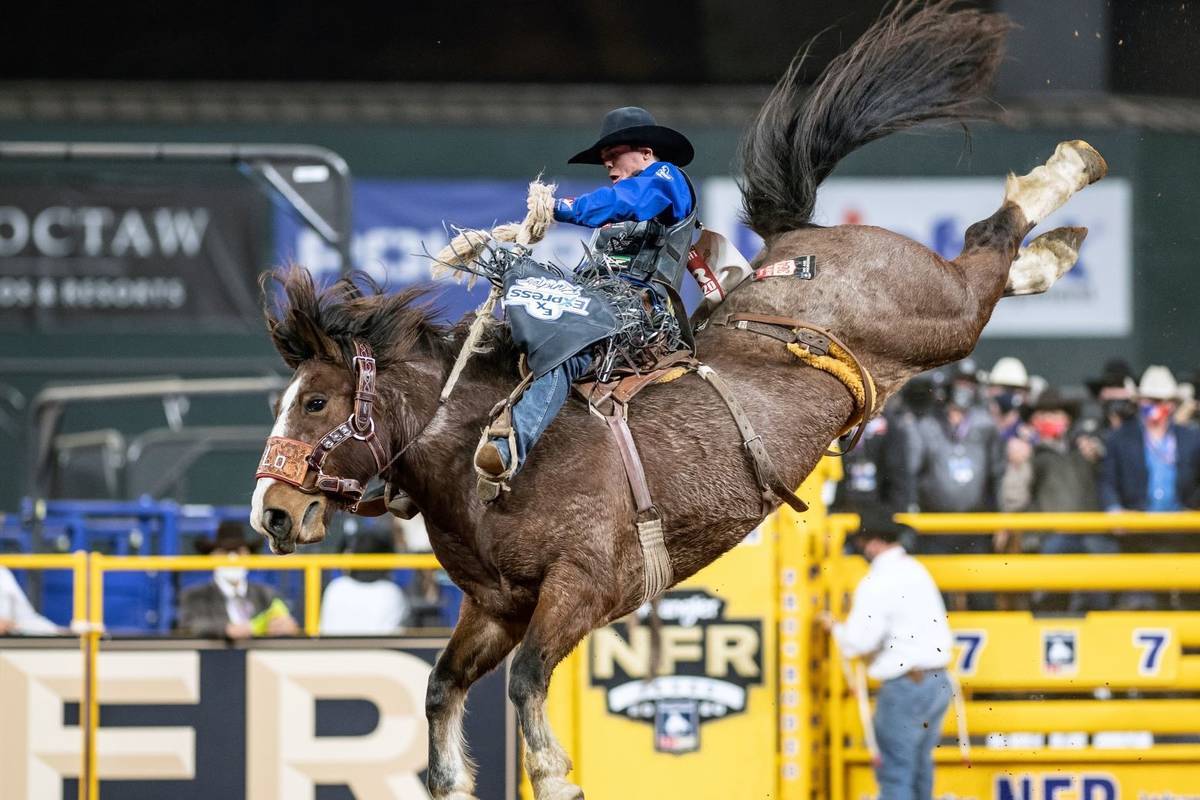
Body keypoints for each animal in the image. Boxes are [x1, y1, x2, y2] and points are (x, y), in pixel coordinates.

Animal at [248, 3, 1108, 796]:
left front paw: (555, 774)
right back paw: (1057, 251)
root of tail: (800, 240)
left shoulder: (581, 589)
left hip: (935, 315)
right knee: (995, 259)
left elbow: (527, 683)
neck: (478, 458)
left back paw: (1070, 169)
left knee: (986, 246)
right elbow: (440, 692)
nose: (272, 514)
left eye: (316, 404)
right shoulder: (493, 607)